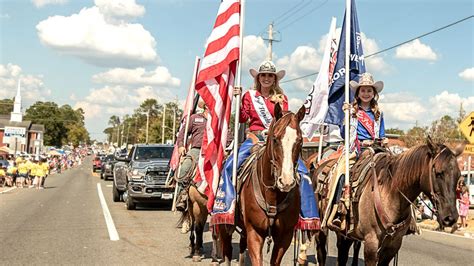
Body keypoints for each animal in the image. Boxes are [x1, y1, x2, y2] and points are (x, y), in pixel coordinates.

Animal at [217, 103, 306, 264]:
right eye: (275, 139)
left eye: (300, 141)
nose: (286, 181)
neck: (272, 196)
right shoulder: (255, 233)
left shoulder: (285, 236)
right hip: (224, 223)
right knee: (227, 250)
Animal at [336, 138, 464, 264]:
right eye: (438, 173)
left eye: (458, 176)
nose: (450, 218)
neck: (390, 194)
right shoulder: (371, 244)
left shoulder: (393, 245)